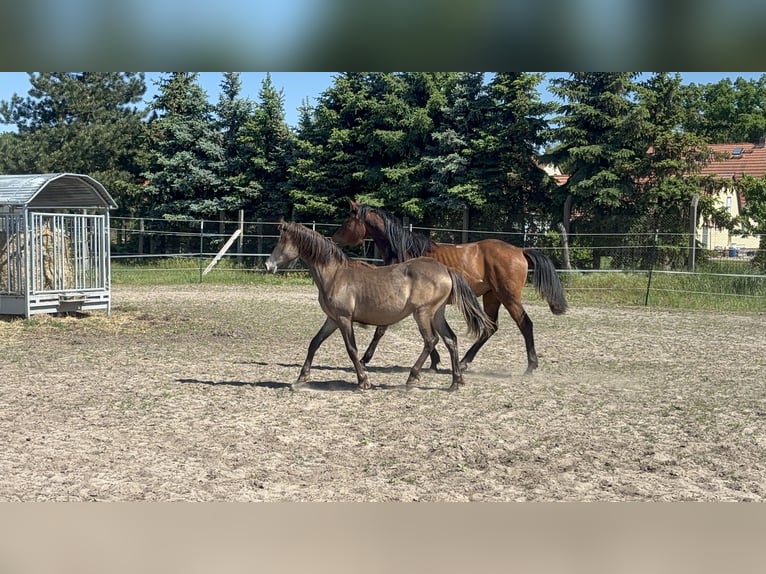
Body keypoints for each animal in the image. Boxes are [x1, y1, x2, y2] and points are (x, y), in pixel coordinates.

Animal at [264, 220, 496, 392]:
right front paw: (300, 379)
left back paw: (412, 378)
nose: (268, 265)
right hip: (437, 314)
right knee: (450, 340)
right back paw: (456, 381)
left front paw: (363, 381)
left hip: (422, 313)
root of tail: (446, 269)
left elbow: (351, 349)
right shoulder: (332, 319)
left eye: (282, 241)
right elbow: (314, 343)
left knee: (431, 341)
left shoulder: (344, 318)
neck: (335, 274)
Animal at [332, 200, 568, 376]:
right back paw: (464, 362)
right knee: (490, 327)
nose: (333, 239)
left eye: (347, 220)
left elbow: (382, 329)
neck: (405, 251)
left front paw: (365, 358)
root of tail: (519, 250)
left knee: (525, 324)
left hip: (508, 297)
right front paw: (435, 362)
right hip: (492, 297)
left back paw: (530, 366)